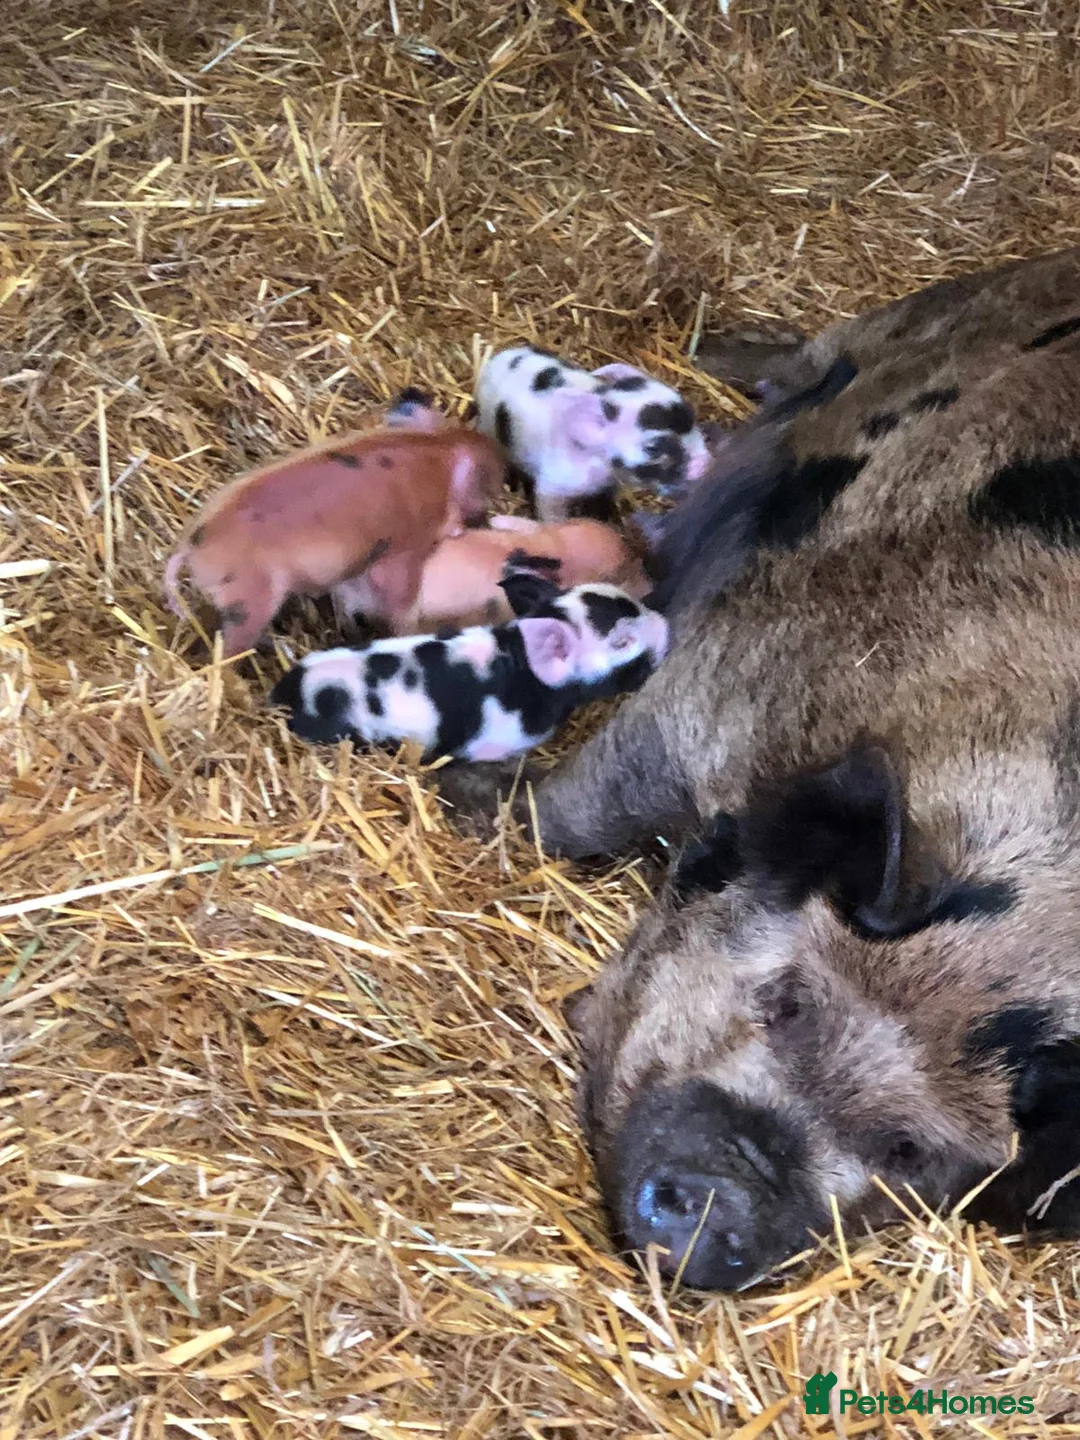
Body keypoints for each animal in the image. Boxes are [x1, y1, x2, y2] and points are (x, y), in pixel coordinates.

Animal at [163, 393, 504, 658]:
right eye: (487, 486)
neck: (439, 455)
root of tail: (191, 544)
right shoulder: (404, 548)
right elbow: (400, 598)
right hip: (248, 601)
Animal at [474, 344, 711, 523]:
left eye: (692, 418)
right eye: (653, 448)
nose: (706, 462)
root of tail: (495, 360)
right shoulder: (554, 483)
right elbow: (549, 508)